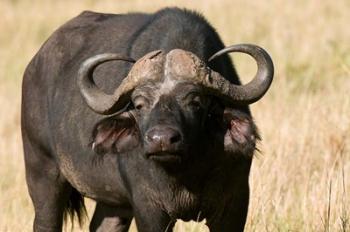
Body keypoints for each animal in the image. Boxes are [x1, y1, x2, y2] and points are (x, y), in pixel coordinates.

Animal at [21, 7, 274, 232]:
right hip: (42, 173)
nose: (161, 140)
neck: (187, 170)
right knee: (45, 222)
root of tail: (34, 66)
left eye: (195, 101)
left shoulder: (234, 203)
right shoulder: (150, 208)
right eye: (139, 104)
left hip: (114, 204)